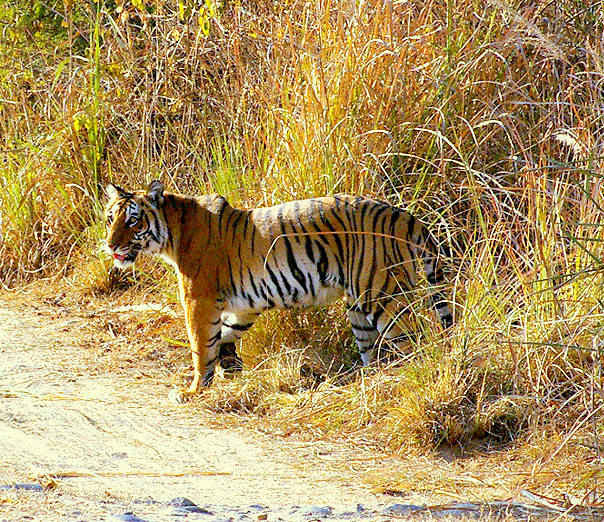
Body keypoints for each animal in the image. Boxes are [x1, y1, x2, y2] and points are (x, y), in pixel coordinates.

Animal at [105, 180, 452, 402]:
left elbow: (201, 347)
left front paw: (193, 391)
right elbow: (225, 335)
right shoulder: (244, 305)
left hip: (381, 294)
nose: (110, 246)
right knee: (374, 353)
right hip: (358, 307)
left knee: (412, 344)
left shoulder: (198, 300)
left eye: (133, 222)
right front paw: (230, 367)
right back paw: (367, 386)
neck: (172, 233)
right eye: (110, 218)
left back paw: (397, 385)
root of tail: (404, 215)